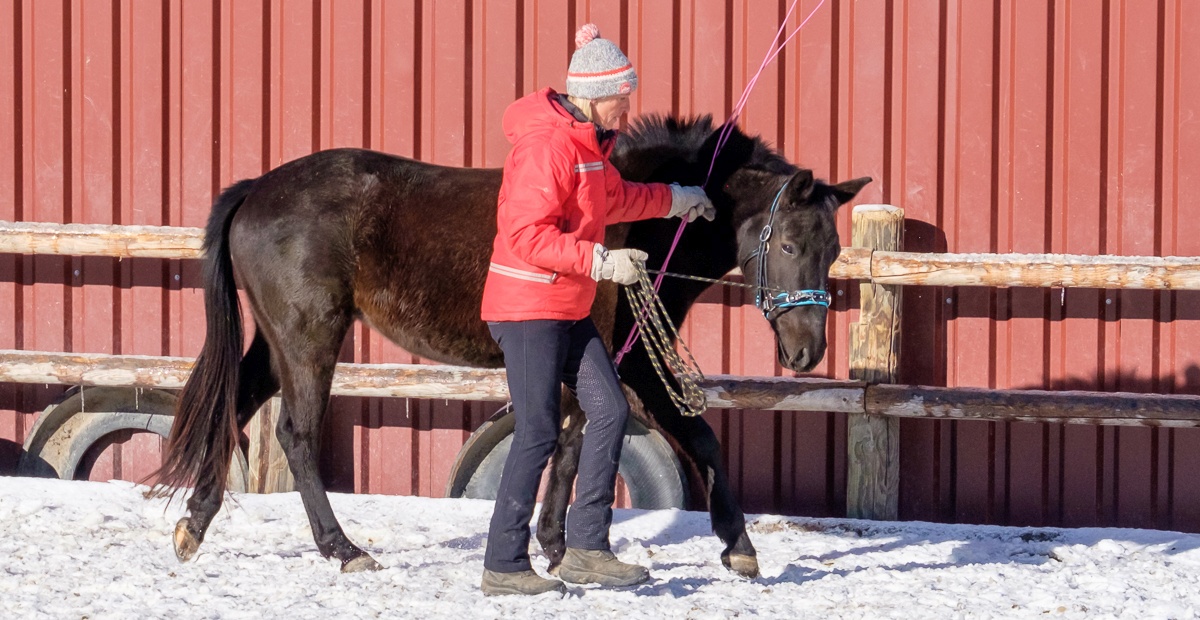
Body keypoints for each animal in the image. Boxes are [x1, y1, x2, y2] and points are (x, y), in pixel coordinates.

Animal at [157, 113, 873, 578]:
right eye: (788, 245)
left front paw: (555, 545)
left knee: (232, 411)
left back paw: (194, 525)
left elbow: (572, 443)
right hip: (309, 337)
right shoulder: (635, 362)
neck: (636, 225)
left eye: (833, 248)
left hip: (275, 341)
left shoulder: (588, 361)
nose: (806, 352)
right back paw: (344, 550)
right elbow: (695, 436)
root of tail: (257, 188)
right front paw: (738, 545)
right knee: (296, 436)